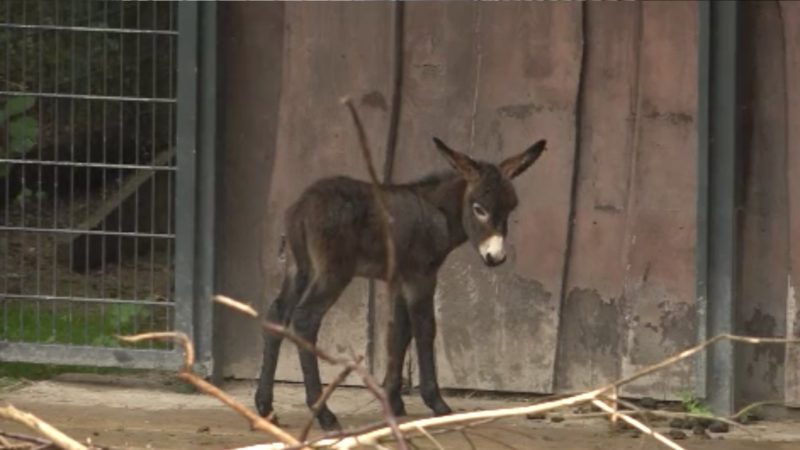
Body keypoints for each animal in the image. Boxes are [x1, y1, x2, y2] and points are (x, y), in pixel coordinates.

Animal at [256, 136, 552, 428]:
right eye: (479, 208)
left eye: (511, 208)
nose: (496, 257)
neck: (438, 213)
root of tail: (303, 206)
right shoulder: (421, 276)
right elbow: (424, 328)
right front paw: (437, 403)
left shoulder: (399, 280)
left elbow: (399, 332)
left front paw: (393, 402)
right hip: (332, 272)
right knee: (305, 319)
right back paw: (323, 414)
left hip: (298, 268)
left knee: (277, 314)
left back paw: (265, 407)